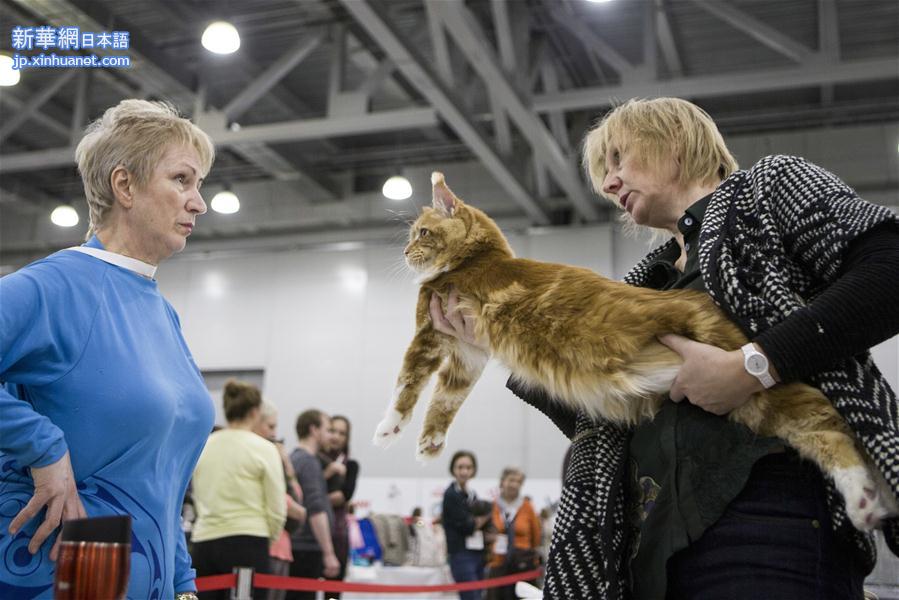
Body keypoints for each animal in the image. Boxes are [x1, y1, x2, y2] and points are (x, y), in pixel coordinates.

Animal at [376, 170, 896, 528]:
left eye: (421, 234)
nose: (402, 253)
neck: (481, 259)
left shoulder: (430, 335)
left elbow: (407, 385)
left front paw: (388, 430)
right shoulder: (468, 353)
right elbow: (446, 400)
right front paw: (430, 442)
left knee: (831, 420)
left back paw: (867, 498)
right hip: (757, 405)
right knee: (824, 428)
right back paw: (867, 501)